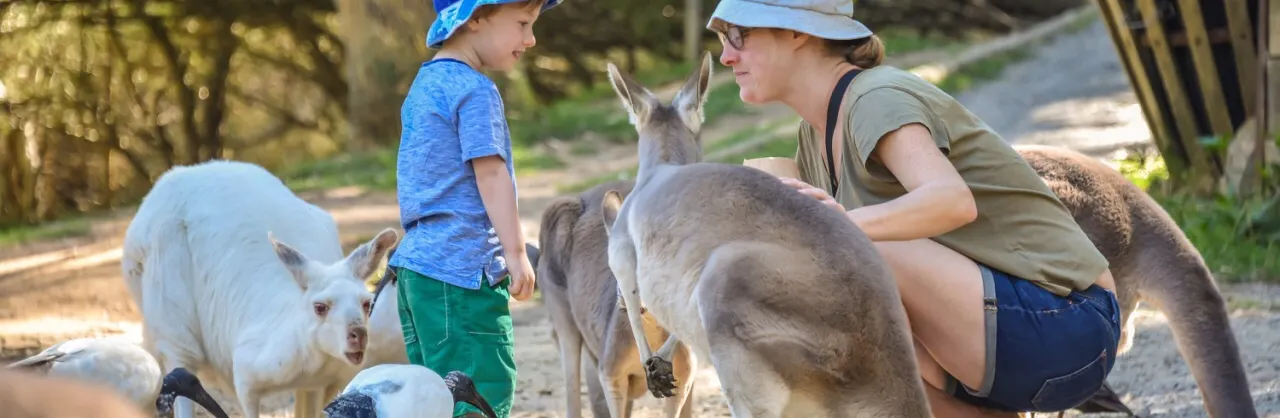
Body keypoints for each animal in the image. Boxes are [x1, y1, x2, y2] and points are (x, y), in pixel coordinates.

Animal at [120, 160, 399, 418]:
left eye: (366, 303)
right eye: (319, 307)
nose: (359, 335)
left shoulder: (325, 382)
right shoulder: (247, 376)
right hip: (167, 297)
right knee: (181, 365)